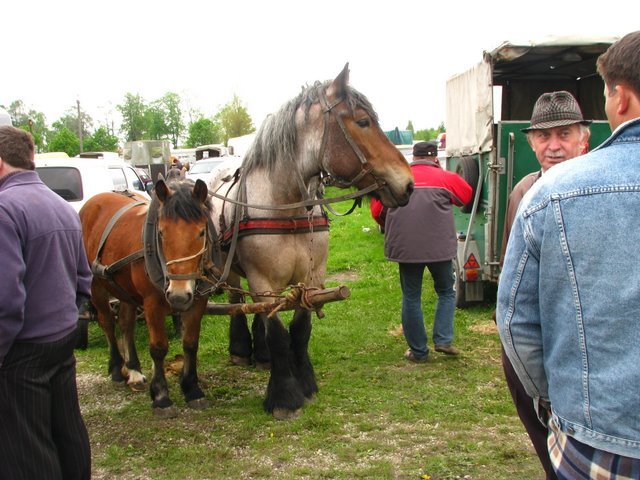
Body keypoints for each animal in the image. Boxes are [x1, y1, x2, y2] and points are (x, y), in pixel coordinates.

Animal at [80, 178, 212, 414]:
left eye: (201, 233)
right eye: (161, 233)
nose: (178, 296)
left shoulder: (198, 301)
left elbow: (190, 343)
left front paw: (192, 389)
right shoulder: (152, 303)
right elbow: (158, 348)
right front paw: (161, 396)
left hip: (124, 290)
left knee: (126, 323)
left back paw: (133, 370)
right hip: (96, 283)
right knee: (107, 322)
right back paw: (117, 368)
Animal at [208, 64, 412, 420]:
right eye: (363, 121)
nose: (409, 183)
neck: (286, 208)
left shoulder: (313, 278)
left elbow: (301, 330)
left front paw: (306, 382)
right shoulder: (264, 283)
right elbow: (277, 333)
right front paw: (285, 397)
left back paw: (261, 357)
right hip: (231, 271)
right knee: (237, 302)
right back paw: (241, 350)